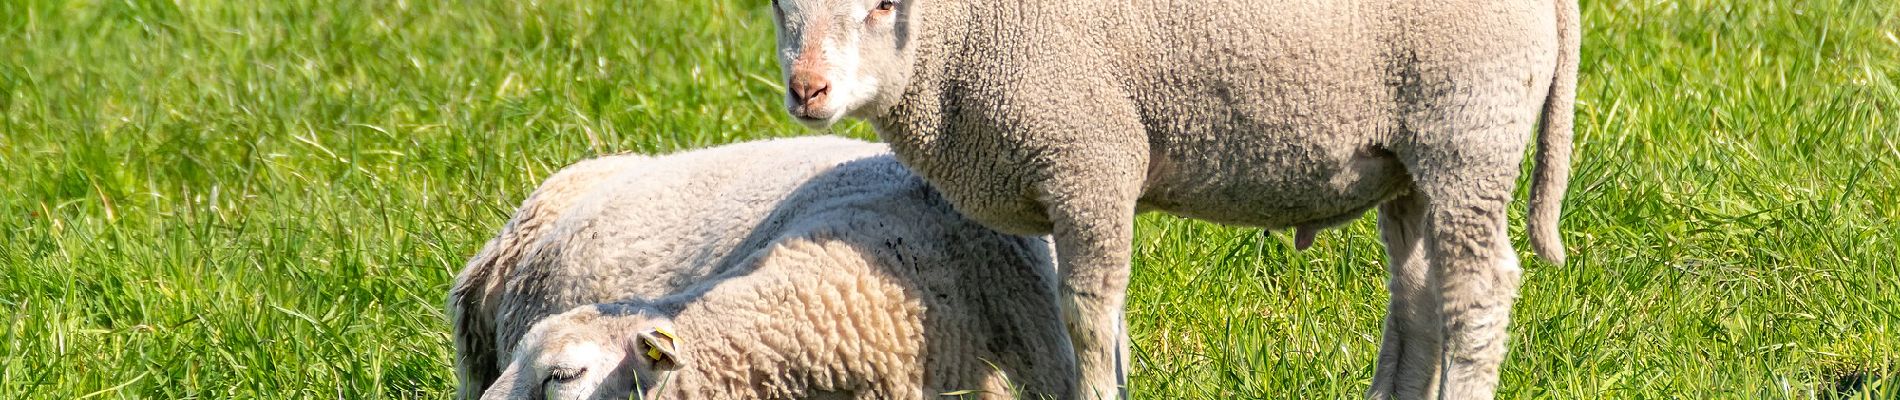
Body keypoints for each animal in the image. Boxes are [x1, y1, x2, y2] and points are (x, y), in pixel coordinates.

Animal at [771, 1, 1588, 398]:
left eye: (885, 3)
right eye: (784, 4)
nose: (806, 89)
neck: (961, 37)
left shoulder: (1090, 155)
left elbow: (1087, 317)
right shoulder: (1079, 179)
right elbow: (1104, 318)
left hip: (1468, 129)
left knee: (1479, 291)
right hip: (1413, 163)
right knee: (1420, 297)